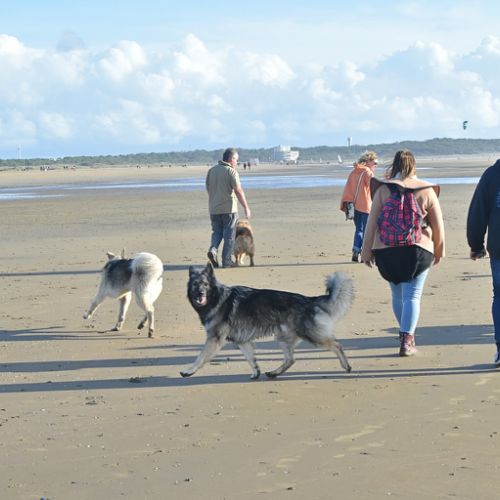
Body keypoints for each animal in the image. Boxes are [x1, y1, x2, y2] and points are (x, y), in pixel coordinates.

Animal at [181, 262, 353, 379]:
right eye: (195, 285)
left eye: (205, 284)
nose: (200, 293)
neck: (216, 298)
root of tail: (309, 300)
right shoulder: (242, 341)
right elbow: (251, 358)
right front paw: (256, 372)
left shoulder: (214, 339)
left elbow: (200, 356)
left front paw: (189, 370)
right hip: (283, 338)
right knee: (290, 359)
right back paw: (274, 372)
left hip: (310, 335)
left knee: (337, 345)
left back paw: (346, 366)